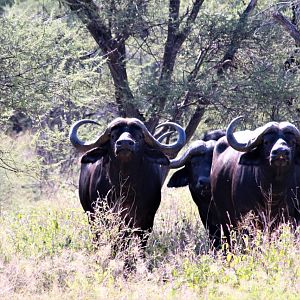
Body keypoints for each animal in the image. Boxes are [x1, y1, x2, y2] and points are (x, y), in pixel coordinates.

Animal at [69, 117, 185, 248]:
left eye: (139, 136)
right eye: (113, 135)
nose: (124, 143)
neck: (124, 187)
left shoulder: (146, 221)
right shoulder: (104, 216)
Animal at [210, 116, 300, 247]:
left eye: (292, 142)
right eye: (266, 142)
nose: (281, 152)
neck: (272, 192)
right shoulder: (246, 216)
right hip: (224, 217)